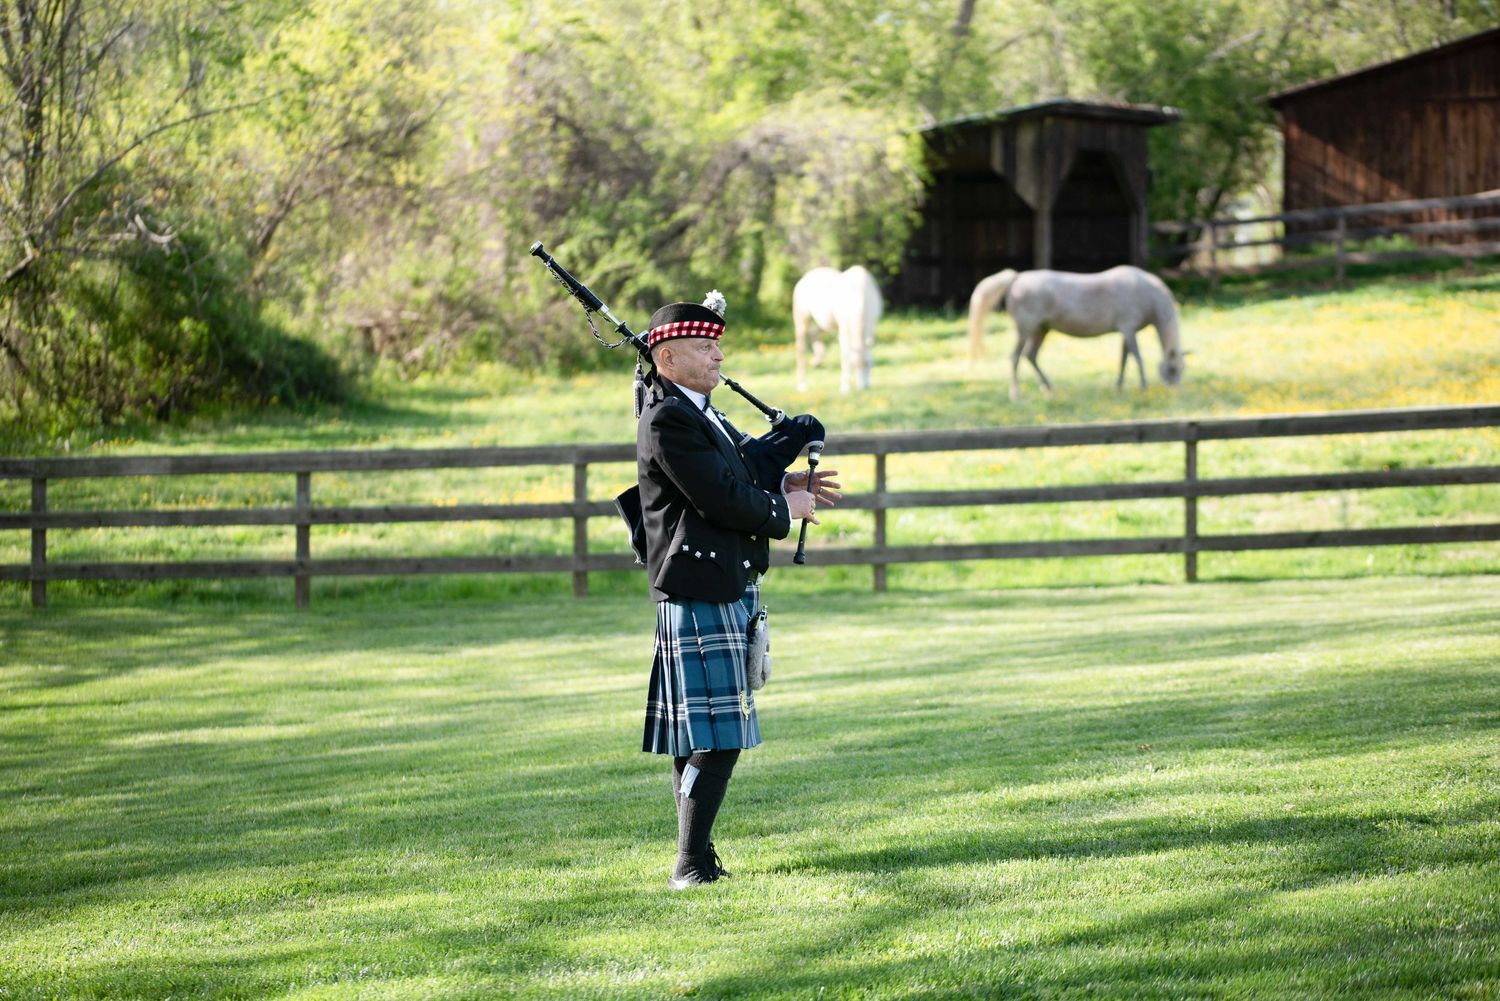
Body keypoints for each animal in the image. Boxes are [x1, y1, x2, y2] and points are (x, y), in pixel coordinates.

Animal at [967, 265, 1186, 401]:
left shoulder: (1126, 331)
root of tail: (1016, 277)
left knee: (1030, 356)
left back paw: (1048, 388)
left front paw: (1119, 388)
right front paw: (1143, 387)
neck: (1147, 293)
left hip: (1041, 329)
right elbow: (1137, 357)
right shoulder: (1128, 327)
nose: (1176, 391)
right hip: (1026, 329)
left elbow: (1123, 359)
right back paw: (1016, 394)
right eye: (1172, 369)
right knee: (1015, 357)